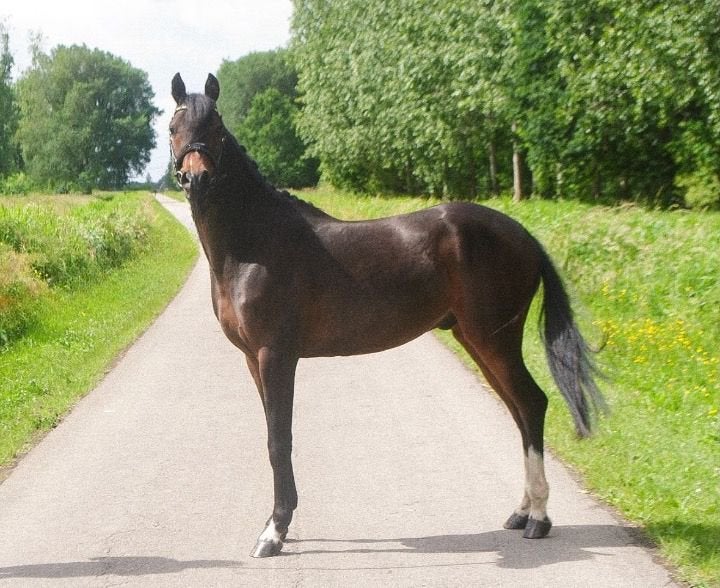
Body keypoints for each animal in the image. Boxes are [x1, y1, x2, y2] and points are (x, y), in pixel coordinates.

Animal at [169, 73, 605, 558]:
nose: (195, 178)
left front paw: (274, 531)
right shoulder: (252, 358)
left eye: (216, 129)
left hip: (494, 340)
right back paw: (522, 512)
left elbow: (278, 439)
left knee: (531, 403)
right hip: (476, 340)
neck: (253, 245)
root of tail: (522, 234)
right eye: (173, 128)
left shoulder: (275, 355)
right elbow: (272, 434)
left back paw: (540, 519)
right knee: (519, 410)